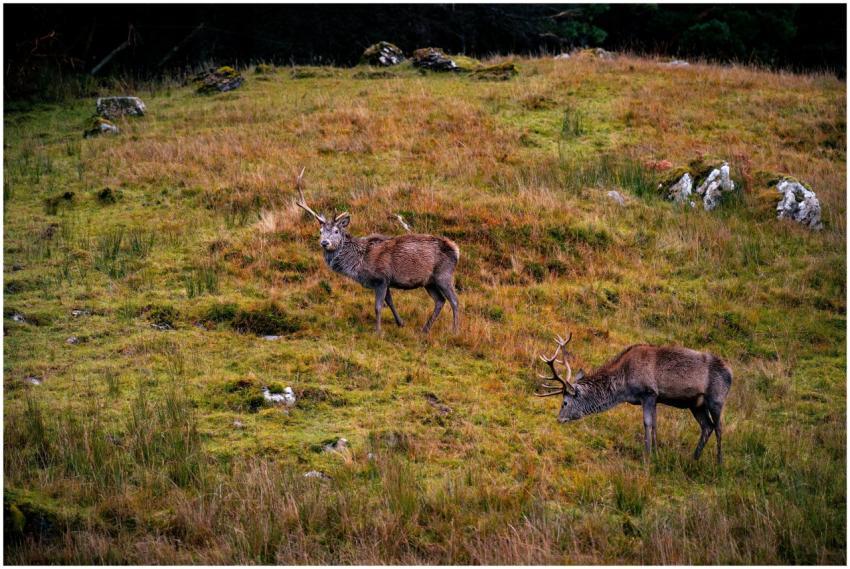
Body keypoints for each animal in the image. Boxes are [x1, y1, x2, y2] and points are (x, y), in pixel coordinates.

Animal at [294, 169, 461, 334]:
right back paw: (425, 329)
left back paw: (455, 330)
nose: (324, 242)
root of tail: (456, 250)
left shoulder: (381, 278)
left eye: (336, 231)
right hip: (429, 281)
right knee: (440, 300)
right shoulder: (385, 281)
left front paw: (378, 331)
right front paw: (401, 323)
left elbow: (378, 306)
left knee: (454, 300)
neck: (359, 262)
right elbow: (390, 302)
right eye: (320, 231)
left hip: (443, 274)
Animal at [535, 333, 732, 465]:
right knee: (707, 426)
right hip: (696, 404)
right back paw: (694, 458)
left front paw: (647, 456)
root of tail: (731, 374)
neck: (624, 386)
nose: (559, 419)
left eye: (564, 402)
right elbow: (655, 425)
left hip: (717, 398)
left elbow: (647, 423)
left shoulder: (648, 392)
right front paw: (656, 453)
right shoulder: (655, 398)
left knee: (719, 427)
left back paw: (719, 462)